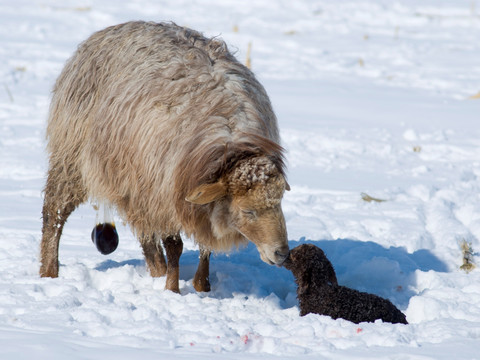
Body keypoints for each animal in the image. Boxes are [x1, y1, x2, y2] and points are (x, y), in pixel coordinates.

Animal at [40, 21, 288, 294]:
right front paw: (172, 290)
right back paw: (48, 273)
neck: (229, 145)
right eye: (248, 211)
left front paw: (202, 286)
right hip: (73, 157)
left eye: (279, 202)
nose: (282, 254)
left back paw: (157, 271)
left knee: (145, 232)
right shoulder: (164, 194)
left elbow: (205, 247)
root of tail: (110, 29)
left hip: (131, 180)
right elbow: (175, 246)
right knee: (54, 213)